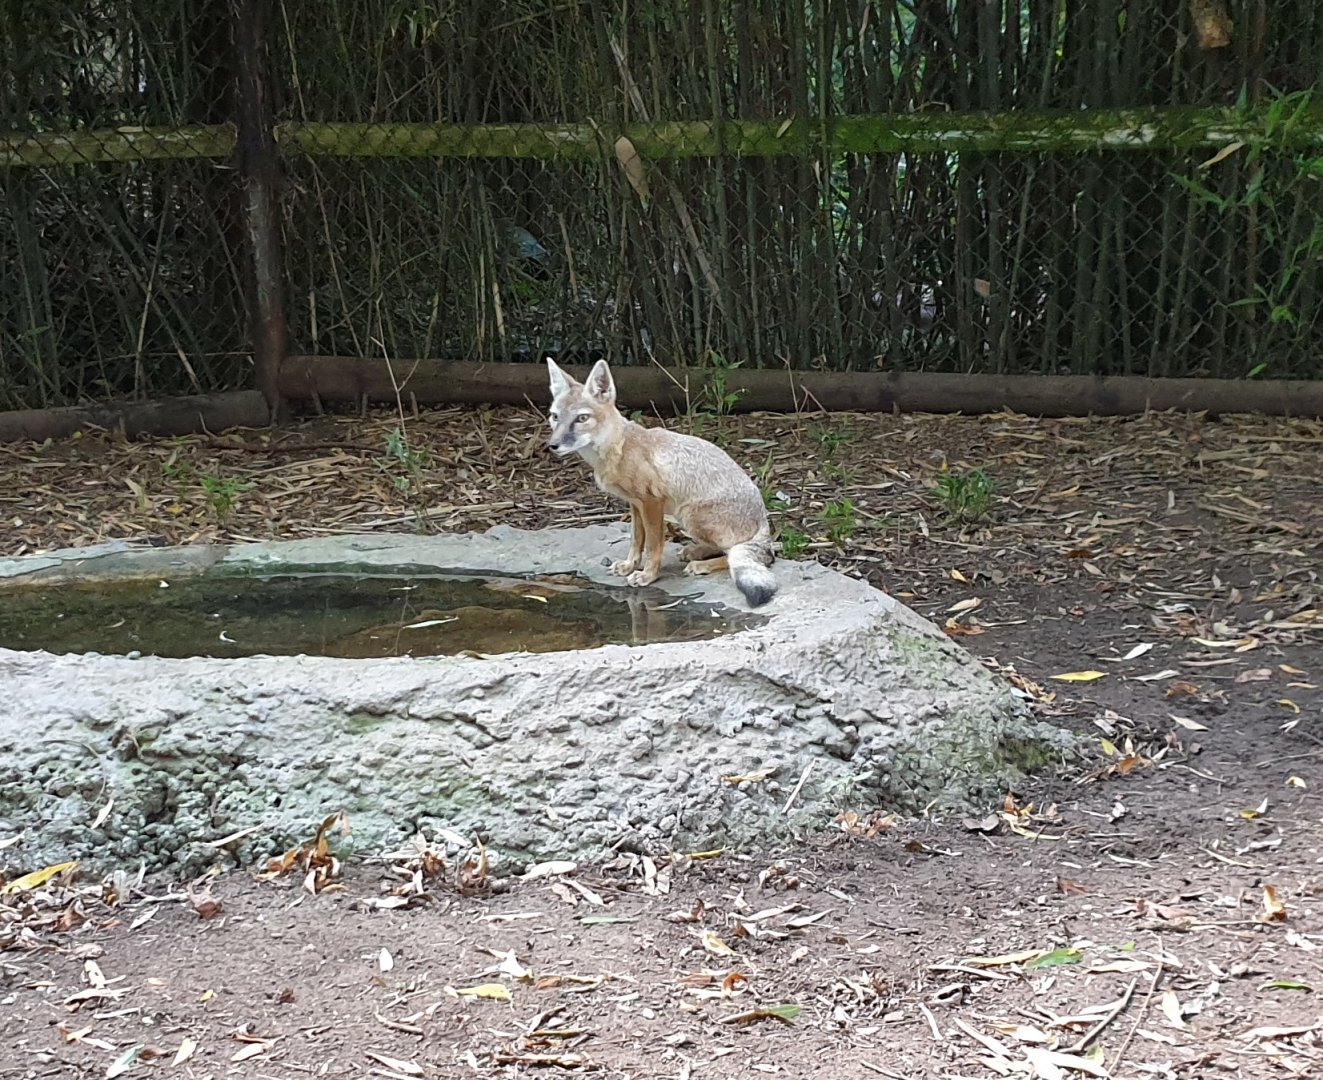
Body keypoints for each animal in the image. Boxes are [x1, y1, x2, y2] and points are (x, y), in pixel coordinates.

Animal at [544, 357, 778, 608]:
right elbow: (636, 539)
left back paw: (701, 564)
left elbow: (653, 545)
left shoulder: (651, 502)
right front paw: (629, 566)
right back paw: (695, 552)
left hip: (689, 515)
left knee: (755, 556)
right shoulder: (635, 503)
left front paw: (648, 575)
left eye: (582, 418)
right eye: (555, 416)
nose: (553, 445)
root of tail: (763, 520)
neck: (619, 448)